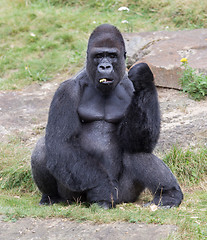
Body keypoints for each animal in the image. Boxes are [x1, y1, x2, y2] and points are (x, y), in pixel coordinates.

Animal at [30, 23, 183, 209]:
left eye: (111, 56)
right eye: (98, 56)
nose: (104, 67)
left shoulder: (129, 87)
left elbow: (137, 141)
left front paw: (144, 79)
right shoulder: (66, 91)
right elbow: (62, 143)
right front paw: (102, 189)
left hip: (125, 195)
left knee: (135, 152)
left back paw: (168, 195)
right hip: (75, 195)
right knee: (43, 149)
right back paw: (52, 197)